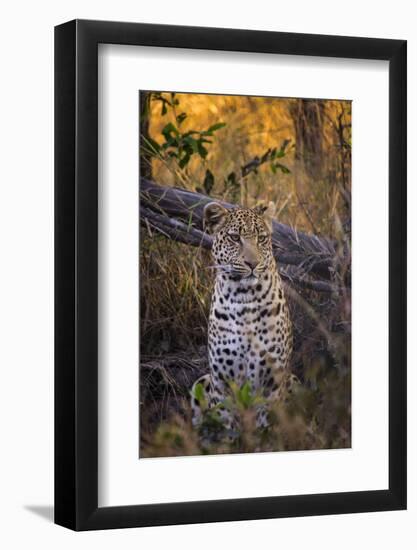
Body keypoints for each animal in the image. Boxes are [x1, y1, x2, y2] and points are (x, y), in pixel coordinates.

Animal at [190, 199, 294, 436]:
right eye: (235, 238)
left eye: (262, 238)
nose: (252, 264)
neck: (244, 298)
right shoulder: (223, 384)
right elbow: (228, 428)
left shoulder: (273, 383)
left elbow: (268, 429)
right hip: (201, 381)